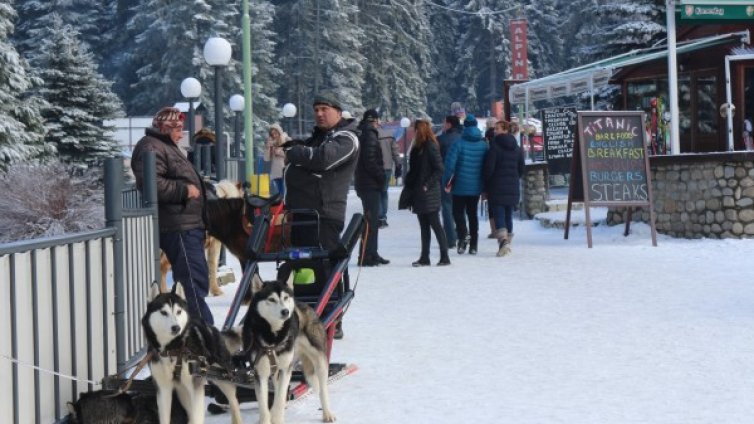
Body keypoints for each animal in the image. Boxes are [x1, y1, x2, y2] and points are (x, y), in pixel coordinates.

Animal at [142, 284, 242, 424]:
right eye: (164, 312)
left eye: (178, 311)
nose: (176, 328)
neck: (173, 349)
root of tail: (211, 327)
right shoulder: (163, 388)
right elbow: (164, 417)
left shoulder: (196, 385)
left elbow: (197, 417)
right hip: (183, 391)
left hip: (223, 377)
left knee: (234, 401)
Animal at [244, 274, 334, 422]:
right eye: (271, 299)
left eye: (286, 297)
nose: (285, 311)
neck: (273, 336)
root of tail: (302, 304)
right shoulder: (260, 372)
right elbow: (263, 406)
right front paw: (267, 419)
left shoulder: (286, 368)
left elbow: (280, 398)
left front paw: (277, 419)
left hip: (319, 361)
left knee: (323, 389)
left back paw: (327, 413)